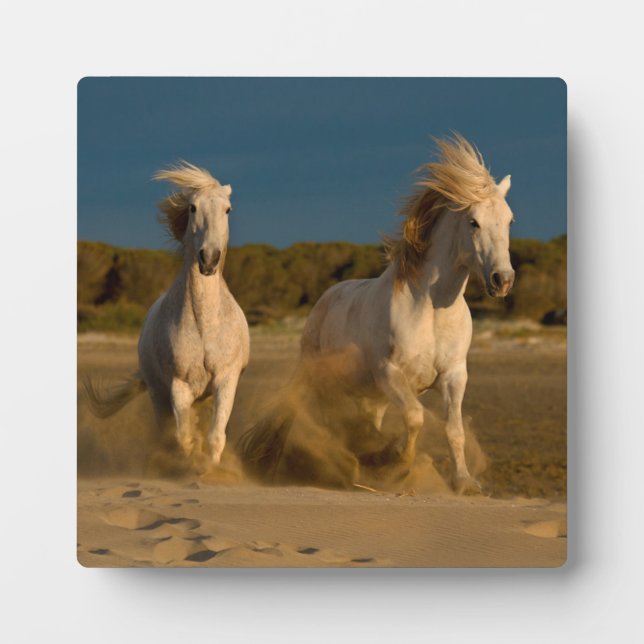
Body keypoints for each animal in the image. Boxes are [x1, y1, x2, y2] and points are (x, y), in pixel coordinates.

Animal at [85, 162, 249, 469]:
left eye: (228, 209)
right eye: (193, 208)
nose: (209, 259)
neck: (206, 323)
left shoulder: (226, 379)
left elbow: (215, 436)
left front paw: (212, 470)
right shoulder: (178, 386)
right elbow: (184, 438)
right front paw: (191, 466)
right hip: (158, 395)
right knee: (165, 432)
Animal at [238, 134, 515, 494]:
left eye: (509, 220)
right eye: (473, 222)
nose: (502, 280)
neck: (431, 310)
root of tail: (325, 299)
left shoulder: (454, 375)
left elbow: (454, 430)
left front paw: (464, 483)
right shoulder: (390, 373)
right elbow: (415, 417)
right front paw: (391, 462)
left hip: (370, 397)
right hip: (323, 380)